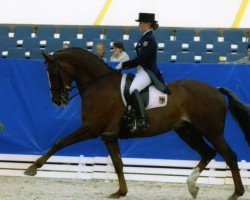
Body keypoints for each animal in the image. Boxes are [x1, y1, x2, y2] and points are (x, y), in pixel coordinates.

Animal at [23, 47, 250, 199]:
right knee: (208, 153)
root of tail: (216, 89)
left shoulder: (91, 129)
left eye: (53, 72)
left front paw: (32, 168)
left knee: (229, 156)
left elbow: (60, 142)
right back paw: (192, 185)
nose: (57, 100)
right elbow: (117, 164)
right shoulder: (108, 136)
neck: (99, 86)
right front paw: (120, 191)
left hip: (212, 131)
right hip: (187, 131)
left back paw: (236, 193)